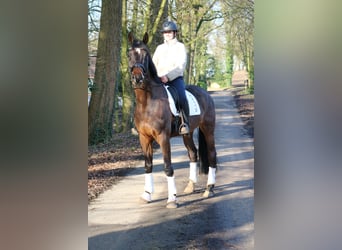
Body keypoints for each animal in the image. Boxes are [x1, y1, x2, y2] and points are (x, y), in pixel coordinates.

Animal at [128, 32, 216, 208]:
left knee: (212, 155)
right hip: (187, 133)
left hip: (208, 130)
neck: (147, 102)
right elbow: (148, 165)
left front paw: (172, 199)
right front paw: (147, 195)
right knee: (193, 154)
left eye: (145, 55)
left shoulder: (163, 137)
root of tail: (206, 93)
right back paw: (190, 186)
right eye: (129, 54)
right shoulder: (144, 138)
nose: (137, 78)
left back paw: (209, 189)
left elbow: (168, 167)